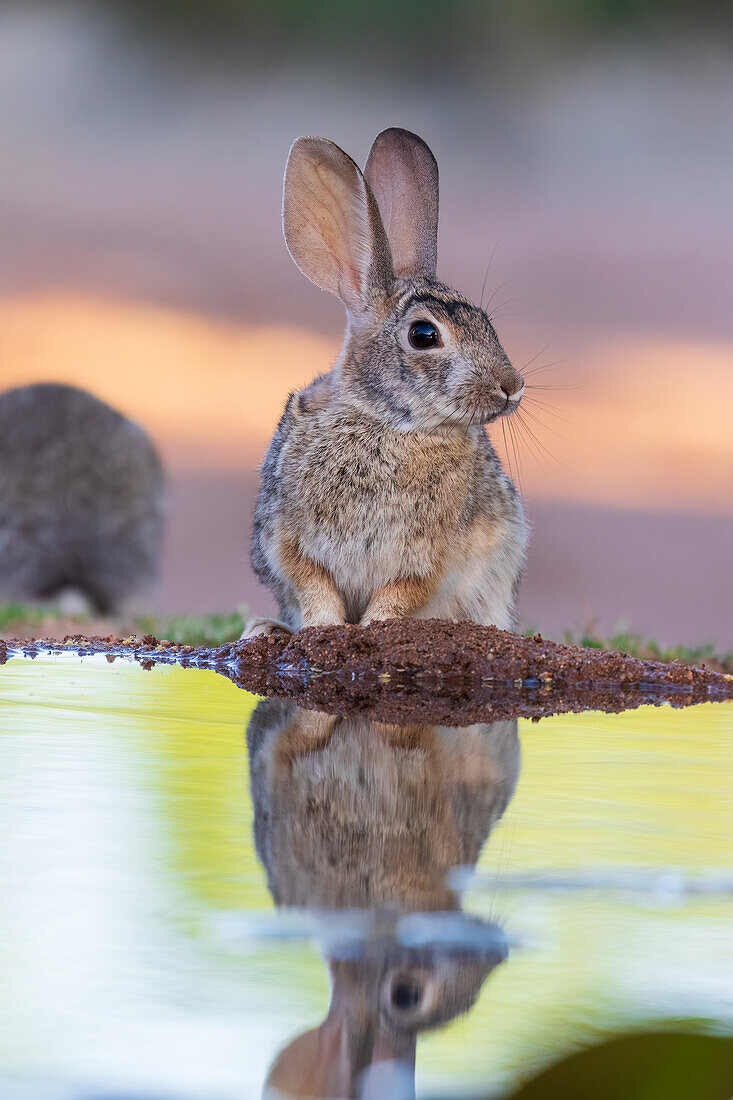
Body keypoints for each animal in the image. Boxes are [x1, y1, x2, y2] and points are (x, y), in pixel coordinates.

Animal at [248, 127, 528, 638]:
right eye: (424, 335)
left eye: (487, 322)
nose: (511, 386)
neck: (387, 422)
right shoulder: (289, 540)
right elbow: (314, 586)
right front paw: (324, 630)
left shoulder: (427, 557)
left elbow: (399, 594)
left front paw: (374, 630)